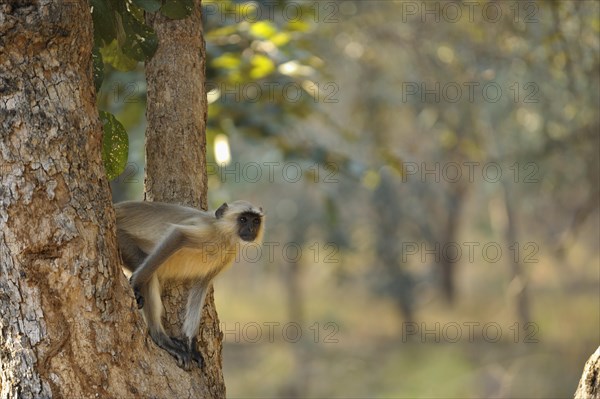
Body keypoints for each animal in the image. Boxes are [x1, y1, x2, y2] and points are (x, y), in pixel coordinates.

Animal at [113, 202, 264, 370]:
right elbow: (178, 235)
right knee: (144, 263)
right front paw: (134, 286)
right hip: (120, 238)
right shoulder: (209, 233)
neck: (225, 235)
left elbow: (202, 282)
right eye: (243, 219)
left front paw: (191, 345)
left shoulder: (227, 255)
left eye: (255, 221)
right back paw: (160, 337)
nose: (250, 229)